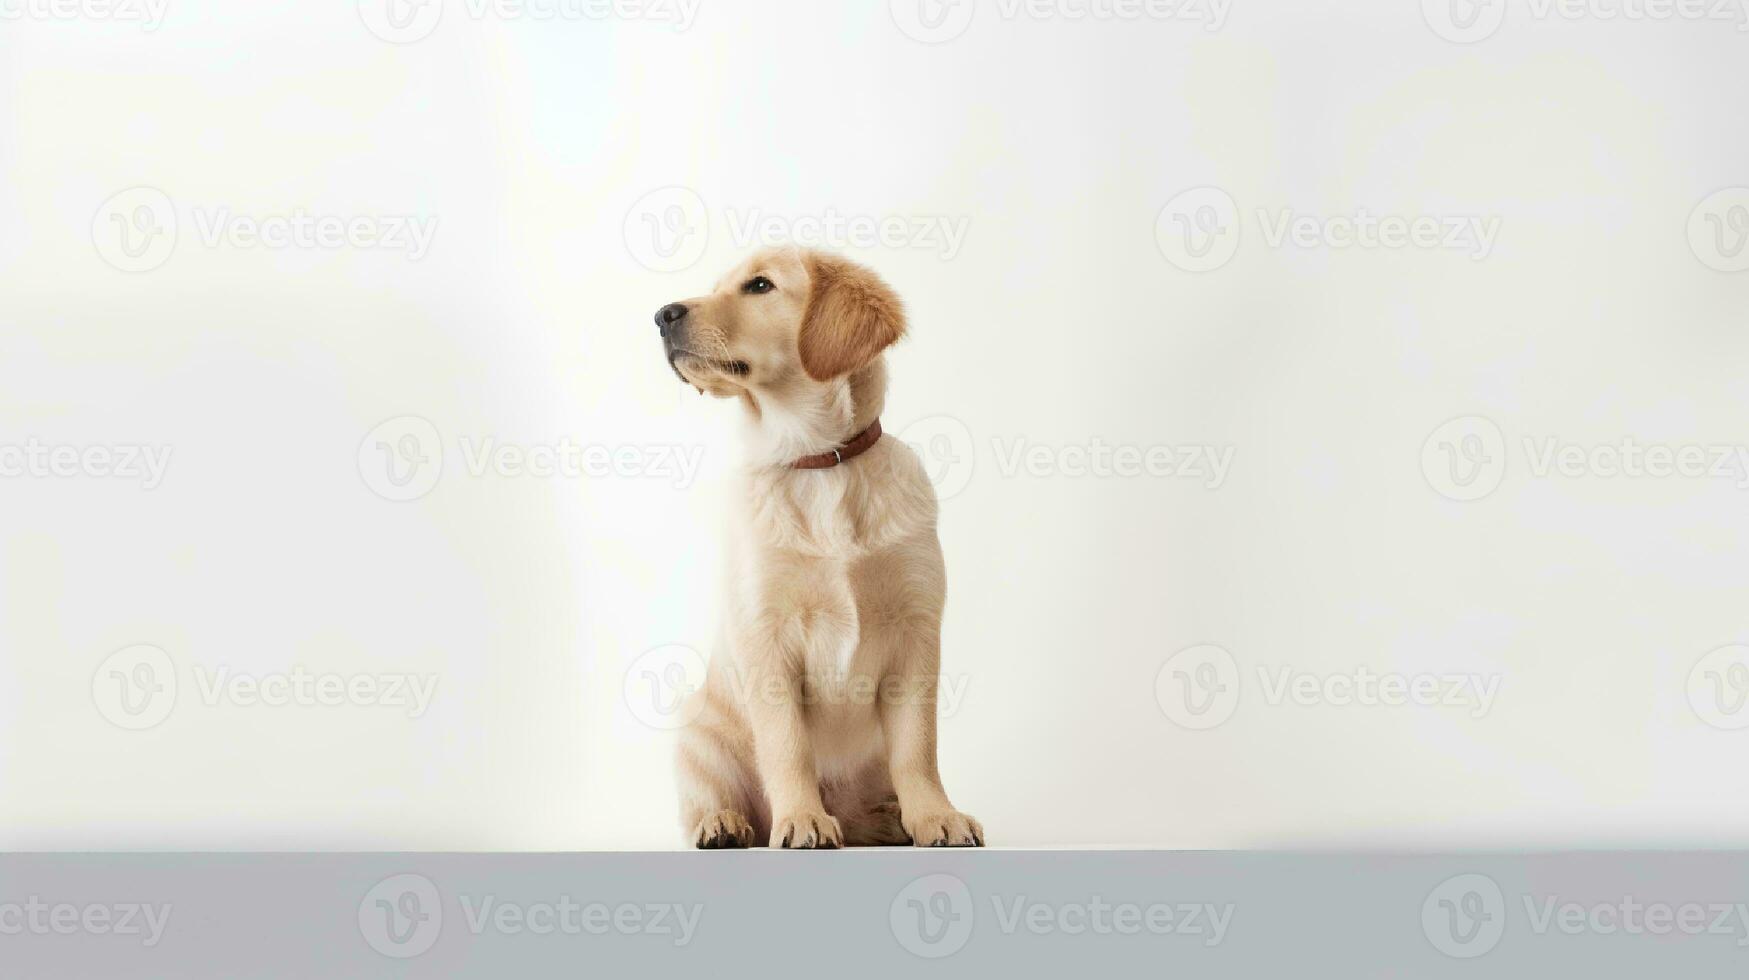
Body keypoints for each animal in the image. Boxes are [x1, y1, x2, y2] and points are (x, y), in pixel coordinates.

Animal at [657, 246, 986, 850]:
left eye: (759, 285)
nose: (661, 315)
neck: (818, 461)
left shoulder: (916, 629)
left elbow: (918, 747)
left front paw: (936, 816)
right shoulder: (766, 632)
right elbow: (787, 745)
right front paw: (802, 818)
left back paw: (888, 819)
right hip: (697, 734)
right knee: (704, 803)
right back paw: (726, 824)